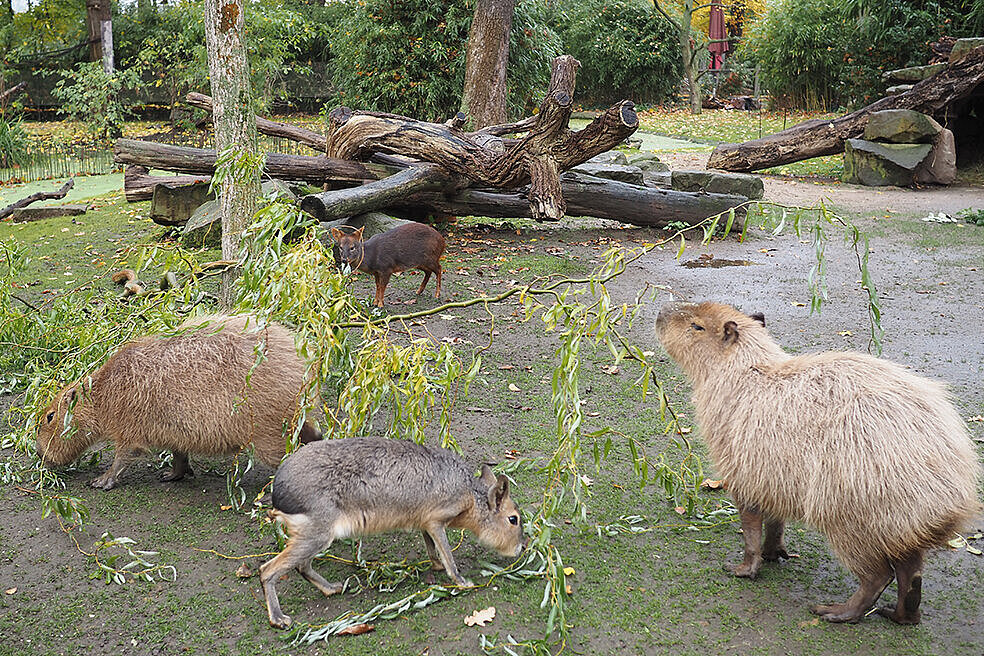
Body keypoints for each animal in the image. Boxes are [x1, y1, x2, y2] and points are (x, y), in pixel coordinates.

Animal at [258, 438, 528, 628]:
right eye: (513, 519)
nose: (523, 546)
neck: (469, 494)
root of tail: (277, 491)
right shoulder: (437, 519)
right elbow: (448, 555)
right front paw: (461, 581)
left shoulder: (425, 522)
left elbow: (431, 547)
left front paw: (436, 565)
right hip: (318, 534)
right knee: (267, 570)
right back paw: (279, 619)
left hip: (315, 536)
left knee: (301, 566)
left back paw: (332, 588)